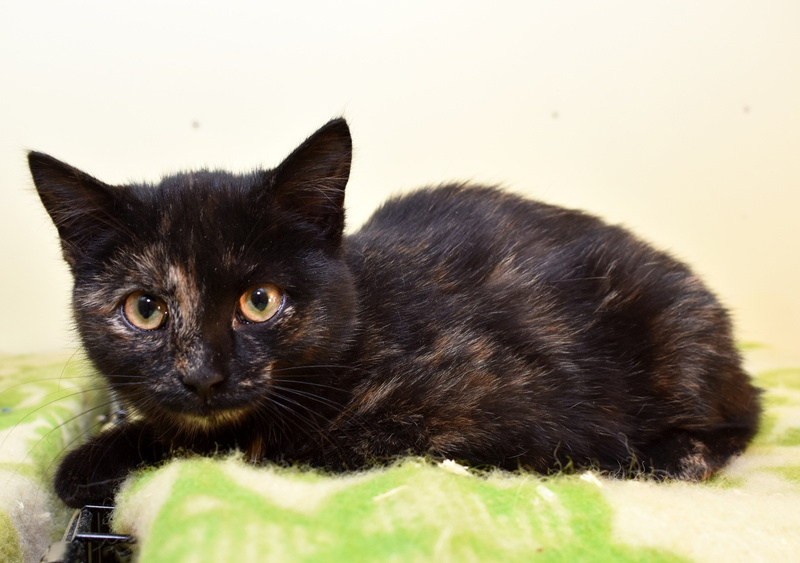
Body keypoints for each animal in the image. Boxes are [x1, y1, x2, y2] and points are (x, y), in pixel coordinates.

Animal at [29, 118, 761, 508]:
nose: (202, 376)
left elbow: (243, 442)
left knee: (734, 425)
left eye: (259, 301)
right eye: (145, 309)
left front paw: (94, 460)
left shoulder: (453, 416)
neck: (365, 316)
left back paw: (674, 456)